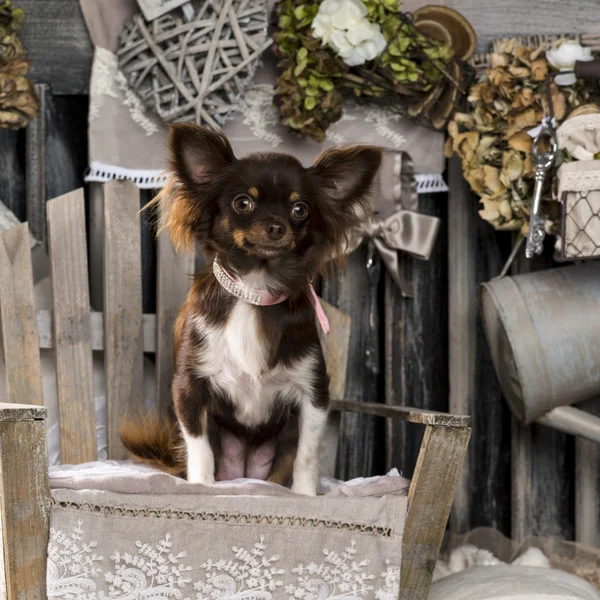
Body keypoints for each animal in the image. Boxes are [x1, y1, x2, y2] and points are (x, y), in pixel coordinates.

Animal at [122, 124, 382, 494]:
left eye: (300, 209)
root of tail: (245, 472)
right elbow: (199, 446)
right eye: (243, 203)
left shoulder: (314, 392)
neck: (255, 292)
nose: (276, 226)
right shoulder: (189, 388)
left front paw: (306, 495)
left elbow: (307, 453)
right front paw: (200, 487)